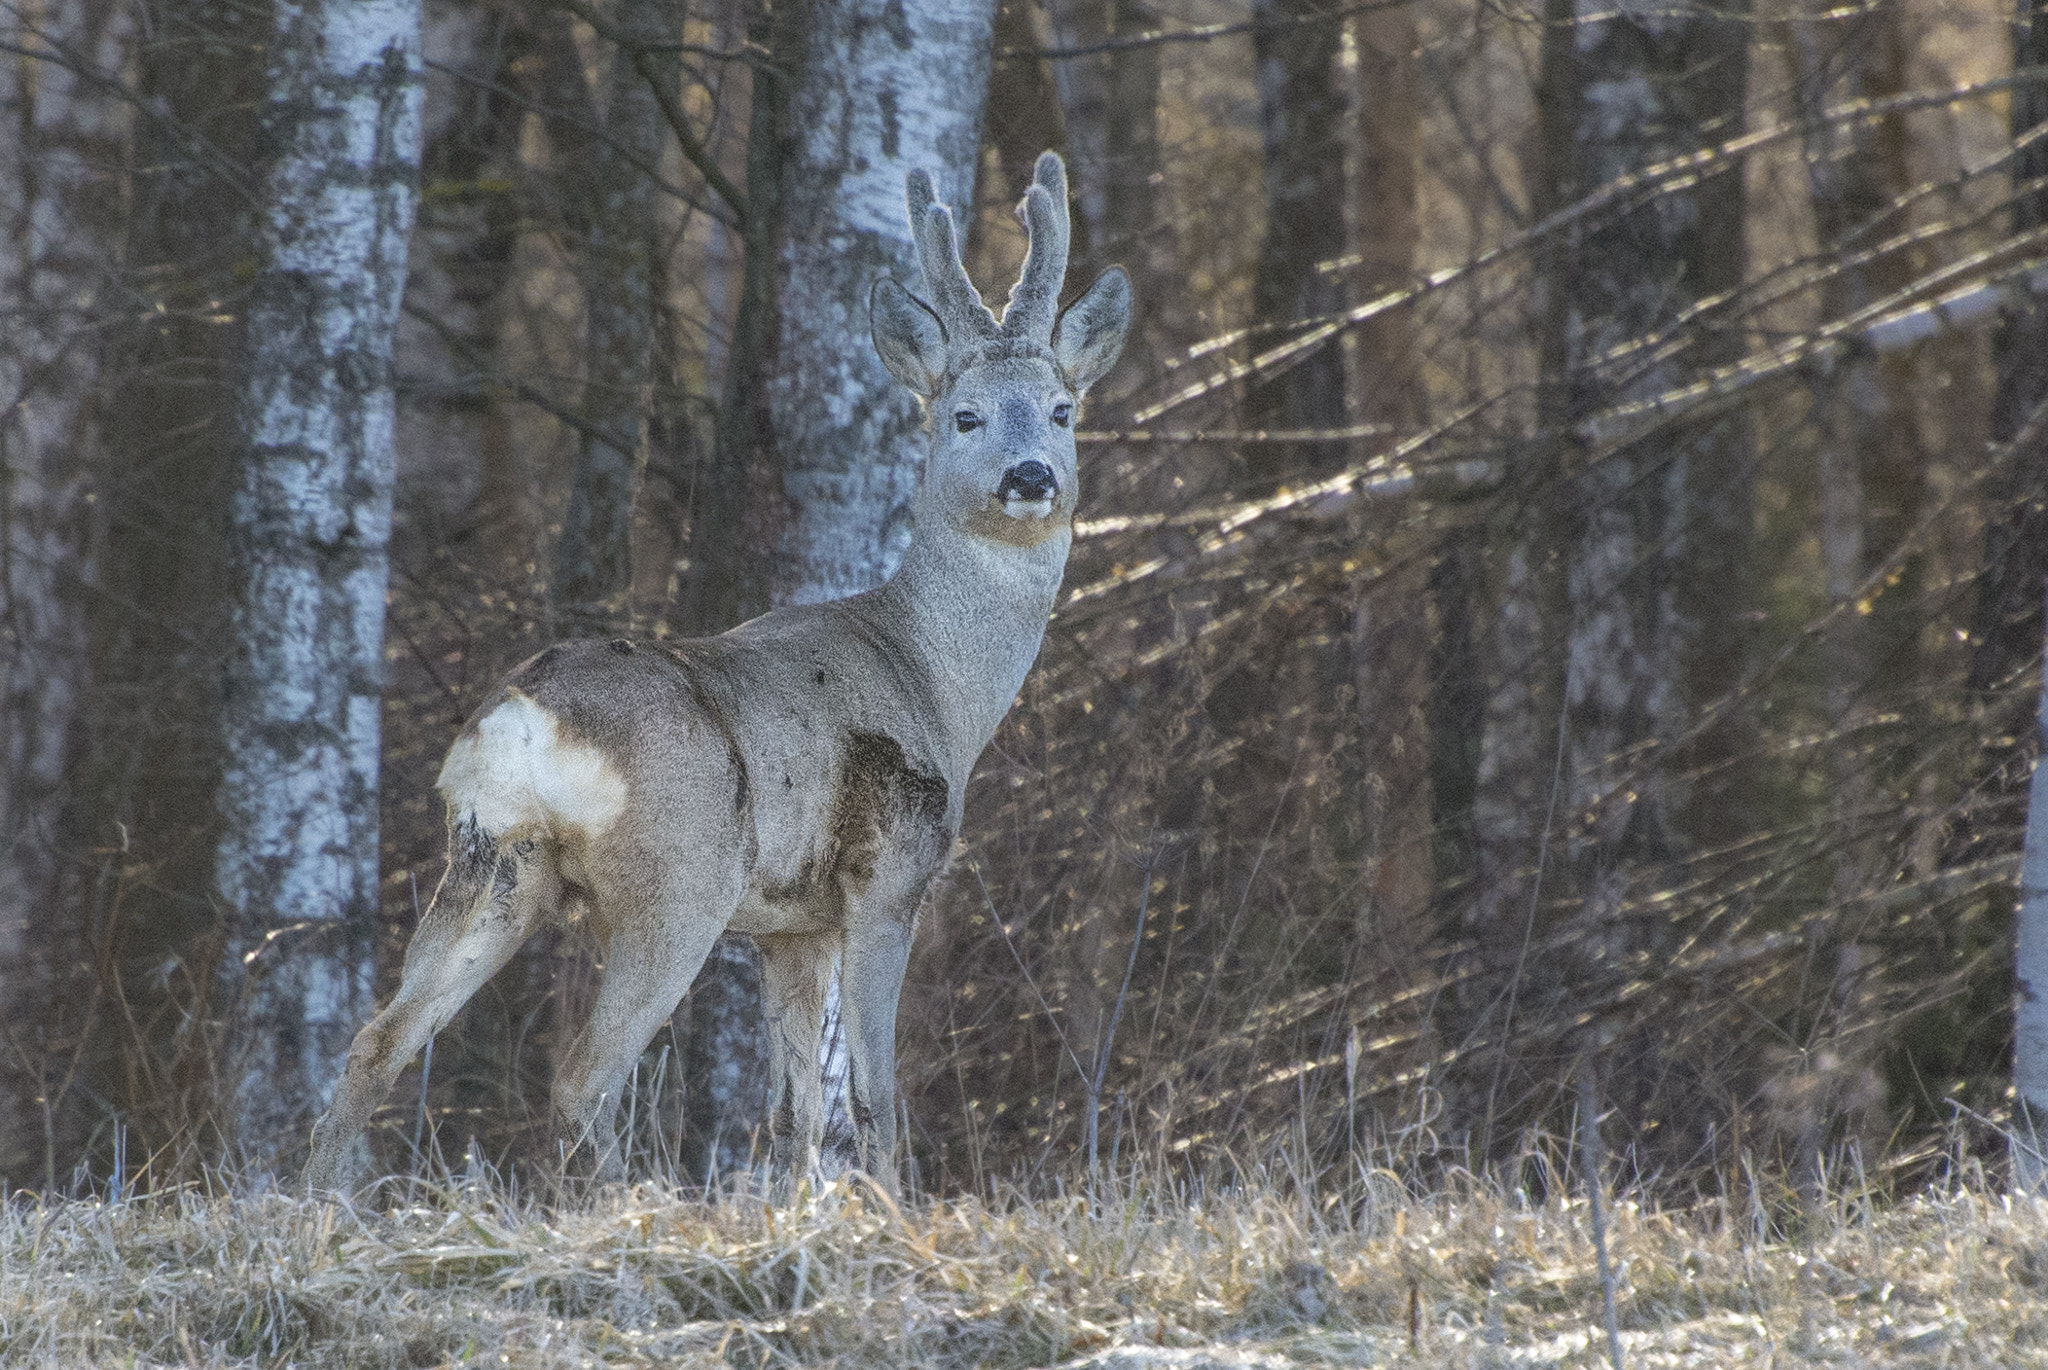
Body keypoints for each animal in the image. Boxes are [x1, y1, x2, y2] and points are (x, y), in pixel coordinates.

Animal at [307, 152, 1122, 1187]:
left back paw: (321, 1203)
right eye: (965, 416)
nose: (1031, 476)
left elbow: (795, 1115)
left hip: (493, 862)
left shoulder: (790, 925)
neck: (933, 679)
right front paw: (895, 1208)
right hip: (675, 881)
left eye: (1062, 410)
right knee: (582, 1075)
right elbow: (873, 1099)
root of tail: (525, 719)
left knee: (377, 1040)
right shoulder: (887, 877)